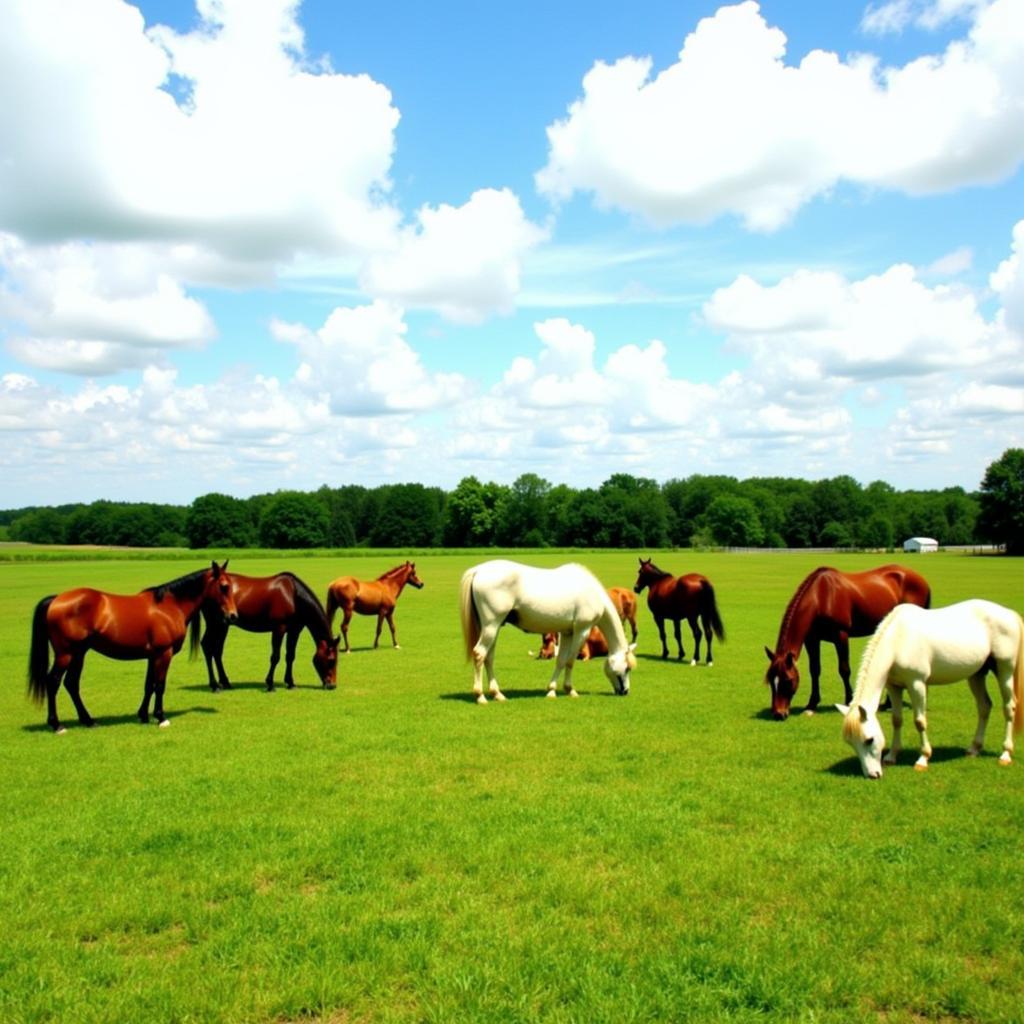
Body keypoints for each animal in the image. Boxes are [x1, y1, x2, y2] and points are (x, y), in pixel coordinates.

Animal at [28, 561, 237, 737]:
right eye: (223, 586)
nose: (233, 615)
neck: (169, 606)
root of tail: (55, 600)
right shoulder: (164, 653)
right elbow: (159, 685)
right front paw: (161, 717)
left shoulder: (153, 656)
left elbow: (149, 685)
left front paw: (143, 715)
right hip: (66, 654)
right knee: (53, 682)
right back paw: (57, 725)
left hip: (79, 653)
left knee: (71, 683)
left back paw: (88, 720)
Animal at [199, 573, 339, 692]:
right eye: (331, 660)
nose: (332, 685)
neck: (293, 596)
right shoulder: (279, 629)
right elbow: (275, 657)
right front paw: (270, 684)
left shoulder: (294, 631)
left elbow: (290, 656)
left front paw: (290, 683)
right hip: (216, 624)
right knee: (207, 646)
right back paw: (214, 685)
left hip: (223, 626)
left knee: (217, 651)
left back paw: (225, 683)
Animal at [462, 561, 634, 704]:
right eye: (627, 668)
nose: (625, 691)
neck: (591, 593)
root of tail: (478, 570)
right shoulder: (581, 631)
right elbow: (570, 661)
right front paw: (570, 690)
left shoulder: (567, 633)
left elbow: (561, 661)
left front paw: (552, 691)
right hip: (491, 626)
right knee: (479, 654)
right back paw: (480, 696)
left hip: (493, 628)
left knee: (489, 658)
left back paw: (497, 694)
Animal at [765, 561, 933, 720]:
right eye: (771, 681)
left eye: (788, 680)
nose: (778, 714)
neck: (821, 597)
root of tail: (921, 579)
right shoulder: (812, 640)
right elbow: (815, 670)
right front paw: (811, 705)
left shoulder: (841, 636)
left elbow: (844, 669)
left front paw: (849, 701)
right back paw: (888, 703)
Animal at [839, 598, 1024, 778]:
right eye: (850, 742)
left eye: (869, 740)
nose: (872, 774)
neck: (899, 640)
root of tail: (1010, 614)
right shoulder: (894, 687)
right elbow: (897, 720)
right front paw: (892, 756)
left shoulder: (917, 684)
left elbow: (920, 721)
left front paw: (923, 759)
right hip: (977, 674)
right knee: (984, 707)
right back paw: (974, 748)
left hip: (1004, 670)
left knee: (1009, 708)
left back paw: (1005, 754)